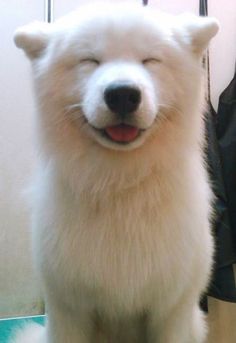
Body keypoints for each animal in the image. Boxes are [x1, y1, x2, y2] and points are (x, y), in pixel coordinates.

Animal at [13, 1, 218, 342]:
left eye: (150, 60)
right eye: (89, 60)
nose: (122, 93)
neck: (120, 184)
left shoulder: (170, 311)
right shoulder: (69, 311)